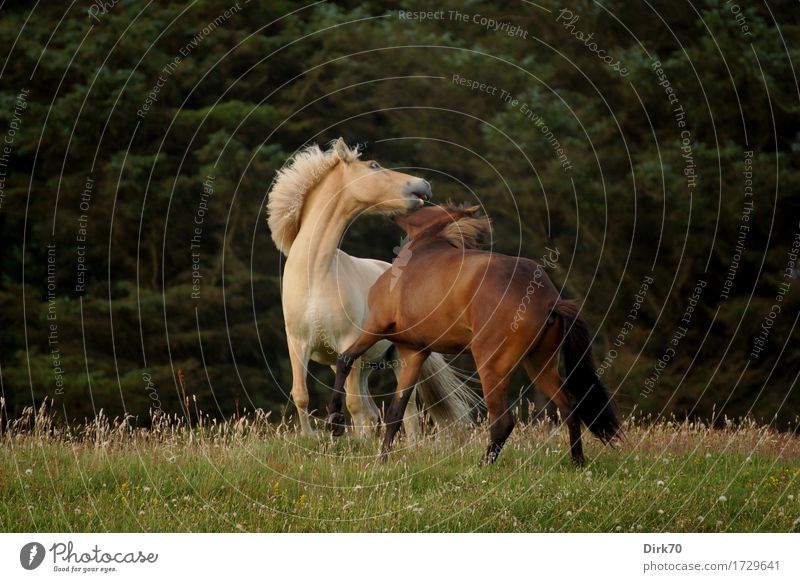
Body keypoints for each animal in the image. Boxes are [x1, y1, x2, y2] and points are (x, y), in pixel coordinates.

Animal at [268, 139, 476, 436]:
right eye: (374, 166)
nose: (424, 184)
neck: (315, 277)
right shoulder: (298, 344)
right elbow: (301, 395)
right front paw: (310, 438)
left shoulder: (347, 344)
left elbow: (354, 405)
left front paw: (359, 441)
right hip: (364, 363)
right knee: (372, 409)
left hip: (399, 357)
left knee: (407, 410)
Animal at [324, 204, 620, 466]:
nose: (396, 208)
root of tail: (549, 300)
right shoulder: (413, 353)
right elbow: (397, 410)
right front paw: (381, 461)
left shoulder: (375, 326)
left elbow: (345, 359)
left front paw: (334, 421)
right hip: (539, 364)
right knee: (570, 407)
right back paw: (577, 462)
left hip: (491, 365)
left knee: (503, 421)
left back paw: (479, 468)